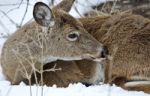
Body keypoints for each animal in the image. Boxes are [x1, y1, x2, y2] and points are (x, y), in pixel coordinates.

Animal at [0, 0, 150, 93]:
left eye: (83, 26)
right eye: (72, 34)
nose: (104, 50)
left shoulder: (63, 76)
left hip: (119, 61)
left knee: (117, 82)